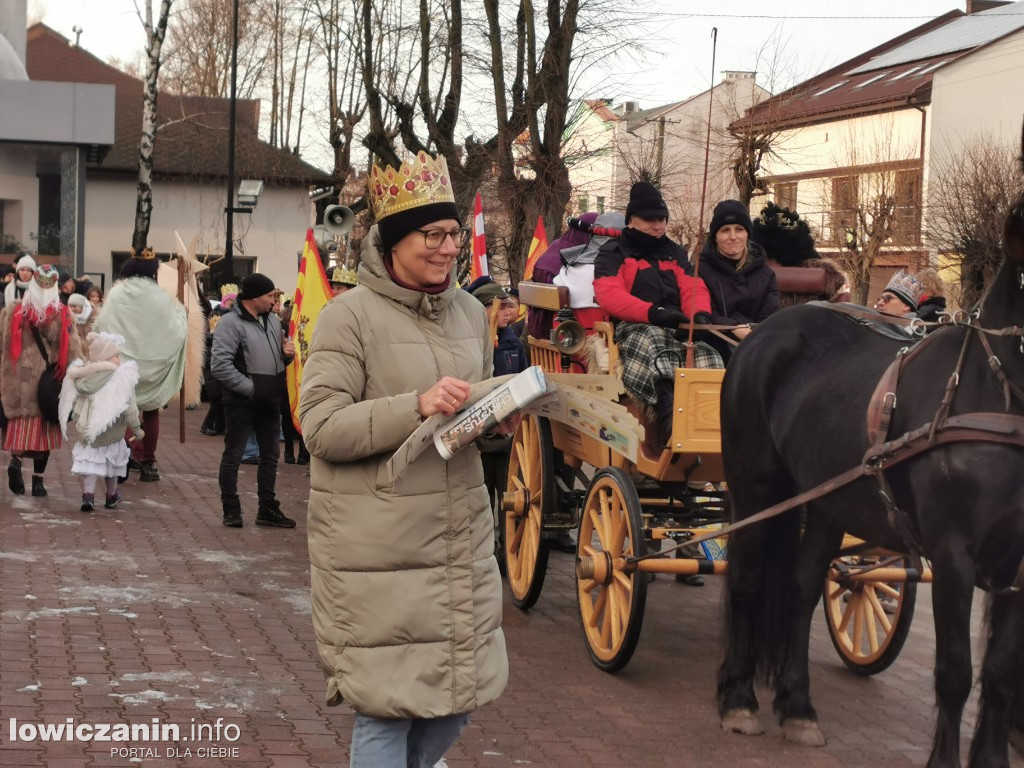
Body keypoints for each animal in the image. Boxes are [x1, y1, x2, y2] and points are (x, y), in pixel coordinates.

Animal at [716, 123, 1024, 765]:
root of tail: (762, 333)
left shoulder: (1017, 568)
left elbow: (1001, 675)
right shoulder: (954, 556)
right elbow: (955, 673)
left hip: (824, 501)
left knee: (803, 589)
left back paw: (798, 707)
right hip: (756, 489)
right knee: (748, 579)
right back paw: (738, 700)